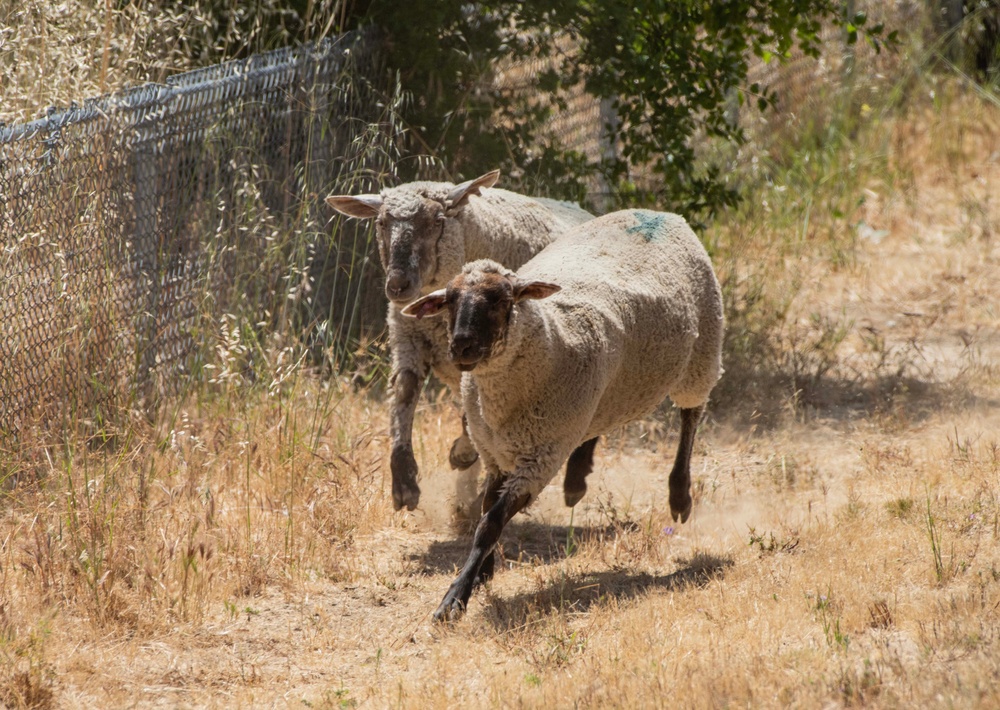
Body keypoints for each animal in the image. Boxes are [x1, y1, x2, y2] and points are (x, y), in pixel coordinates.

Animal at [328, 168, 592, 512]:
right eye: (382, 222)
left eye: (438, 220)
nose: (398, 285)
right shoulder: (409, 339)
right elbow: (405, 392)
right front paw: (404, 482)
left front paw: (462, 453)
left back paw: (574, 482)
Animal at [402, 209, 724, 620]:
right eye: (450, 300)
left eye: (501, 299)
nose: (461, 346)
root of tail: (663, 214)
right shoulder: (494, 451)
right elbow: (487, 510)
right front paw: (483, 572)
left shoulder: (540, 458)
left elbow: (490, 523)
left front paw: (455, 599)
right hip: (603, 388)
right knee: (598, 418)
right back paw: (576, 480)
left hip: (702, 353)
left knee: (691, 416)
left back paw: (680, 496)